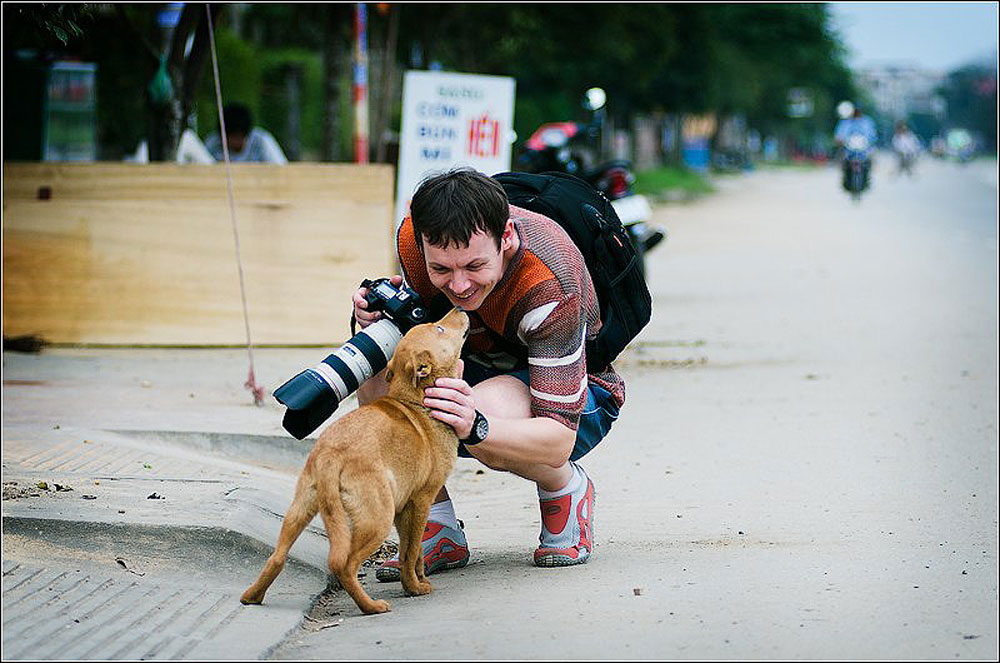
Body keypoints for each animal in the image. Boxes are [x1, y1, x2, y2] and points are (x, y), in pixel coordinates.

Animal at [245, 308, 472, 616]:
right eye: (438, 329)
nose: (458, 309)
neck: (415, 400)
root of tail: (330, 456)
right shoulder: (421, 501)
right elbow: (412, 551)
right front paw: (414, 588)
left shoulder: (404, 508)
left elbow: (411, 552)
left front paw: (418, 579)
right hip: (376, 518)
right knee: (343, 564)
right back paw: (370, 606)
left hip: (300, 509)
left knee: (276, 557)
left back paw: (251, 597)